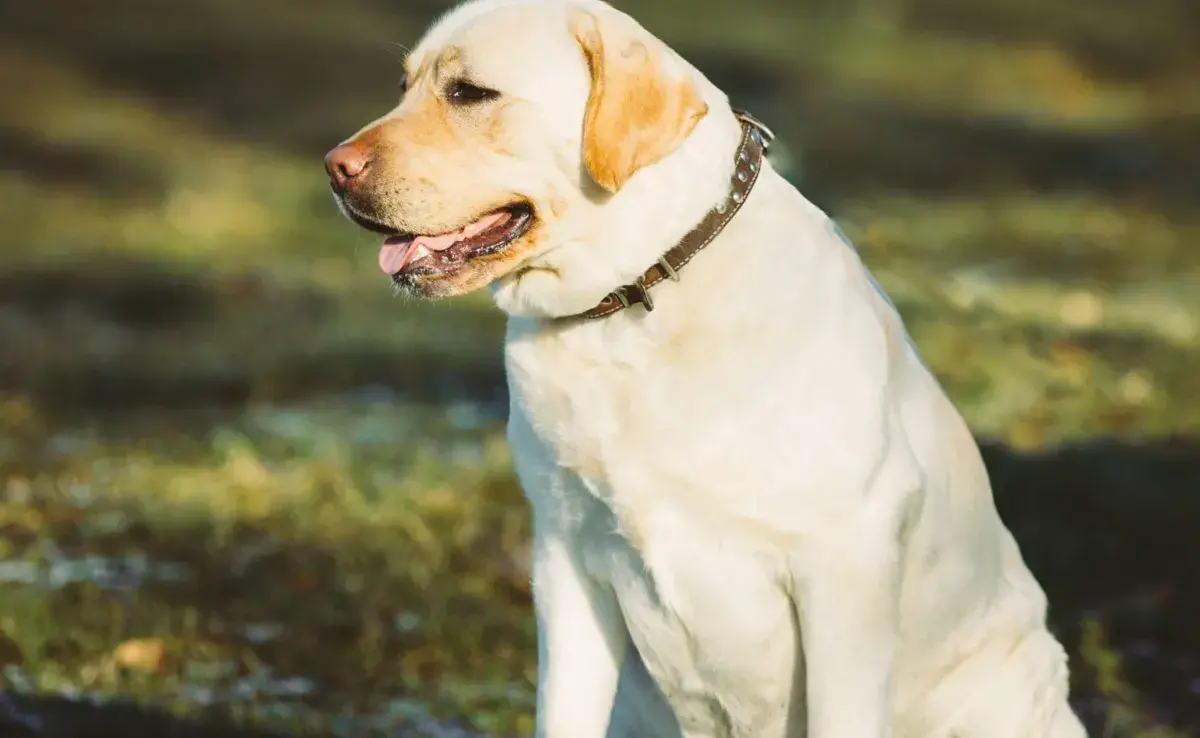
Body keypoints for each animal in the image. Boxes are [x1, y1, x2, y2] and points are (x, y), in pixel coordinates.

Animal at [321, 2, 1089, 734]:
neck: (636, 302)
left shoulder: (848, 564)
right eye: (403, 87)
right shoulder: (565, 557)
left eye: (470, 92)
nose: (334, 167)